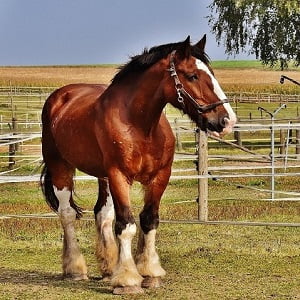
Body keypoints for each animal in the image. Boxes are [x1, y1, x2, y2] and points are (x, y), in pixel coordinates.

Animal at [39, 34, 237, 292]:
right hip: (61, 167)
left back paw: (108, 268)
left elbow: (149, 220)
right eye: (193, 75)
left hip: (102, 177)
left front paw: (149, 273)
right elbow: (126, 225)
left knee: (102, 214)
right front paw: (127, 279)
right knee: (67, 214)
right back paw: (75, 269)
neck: (140, 126)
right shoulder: (119, 176)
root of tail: (59, 97)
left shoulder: (159, 177)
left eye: (211, 73)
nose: (227, 121)